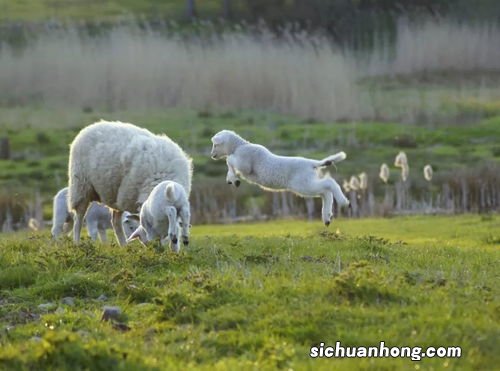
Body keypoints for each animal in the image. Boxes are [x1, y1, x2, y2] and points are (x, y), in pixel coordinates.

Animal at [210, 129, 348, 225]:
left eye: (215, 145)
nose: (212, 155)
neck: (239, 146)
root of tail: (312, 163)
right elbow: (230, 165)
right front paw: (232, 179)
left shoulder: (245, 164)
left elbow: (229, 159)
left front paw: (233, 178)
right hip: (308, 184)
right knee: (325, 193)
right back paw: (327, 217)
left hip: (304, 184)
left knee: (329, 184)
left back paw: (343, 202)